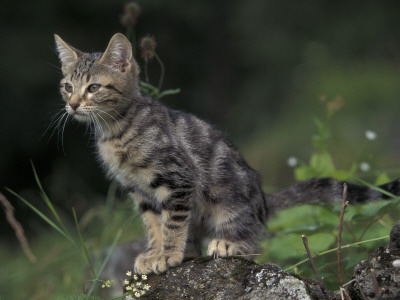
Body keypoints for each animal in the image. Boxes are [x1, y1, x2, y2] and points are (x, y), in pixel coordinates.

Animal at [54, 32, 400, 274]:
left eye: (94, 88)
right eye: (67, 86)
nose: (72, 104)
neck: (117, 130)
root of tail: (264, 203)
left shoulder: (179, 179)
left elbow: (172, 224)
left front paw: (168, 254)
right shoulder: (141, 193)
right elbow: (154, 226)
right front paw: (155, 253)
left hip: (229, 202)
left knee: (258, 241)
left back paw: (229, 244)